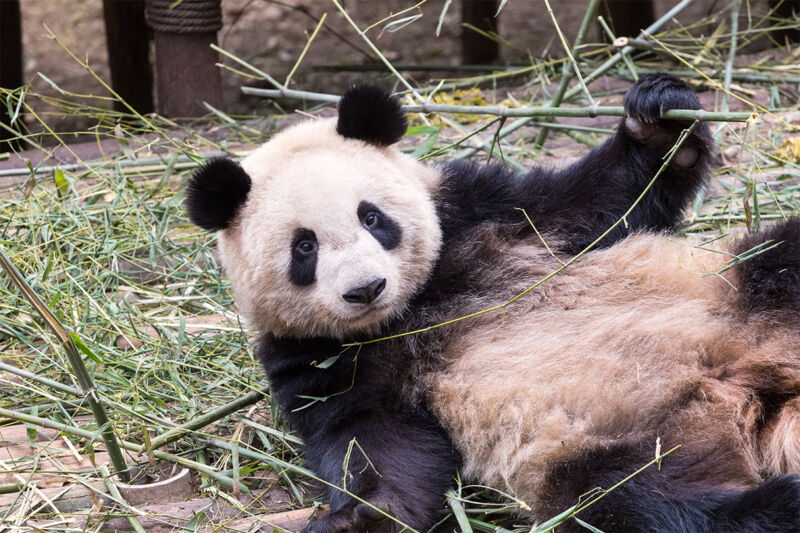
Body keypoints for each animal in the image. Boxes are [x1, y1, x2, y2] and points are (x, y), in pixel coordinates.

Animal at [185, 74, 800, 533]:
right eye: (304, 247)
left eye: (372, 217)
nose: (366, 289)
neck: (413, 307)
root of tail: (743, 394)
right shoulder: (318, 356)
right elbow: (374, 437)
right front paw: (362, 518)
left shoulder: (488, 212)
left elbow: (609, 201)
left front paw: (657, 117)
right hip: (616, 445)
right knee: (649, 505)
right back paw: (777, 505)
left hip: (735, 286)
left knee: (778, 255)